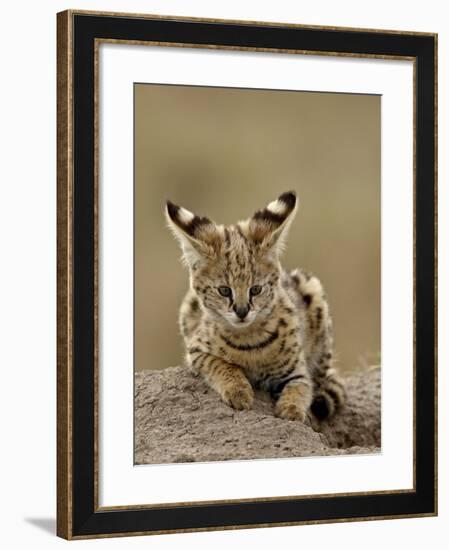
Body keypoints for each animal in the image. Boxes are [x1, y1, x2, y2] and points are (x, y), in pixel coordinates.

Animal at [166, 191, 344, 422]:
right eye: (224, 290)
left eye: (256, 289)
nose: (242, 312)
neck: (249, 340)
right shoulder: (196, 351)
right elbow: (223, 364)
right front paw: (239, 392)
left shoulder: (298, 372)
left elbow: (300, 388)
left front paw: (292, 410)